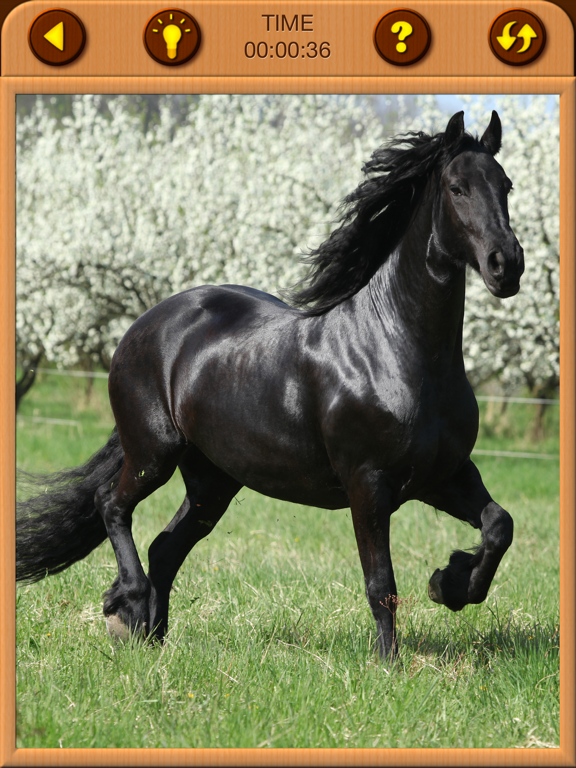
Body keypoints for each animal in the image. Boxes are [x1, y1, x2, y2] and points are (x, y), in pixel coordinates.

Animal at [16, 111, 524, 661]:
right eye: (457, 188)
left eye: (506, 185)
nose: (507, 264)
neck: (397, 351)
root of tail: (143, 326)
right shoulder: (368, 484)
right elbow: (381, 584)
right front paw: (389, 663)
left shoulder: (444, 474)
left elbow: (499, 525)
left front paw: (449, 583)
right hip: (154, 452)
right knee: (111, 504)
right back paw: (124, 609)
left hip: (213, 479)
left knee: (165, 546)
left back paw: (152, 636)